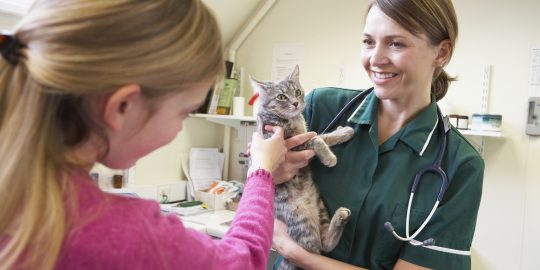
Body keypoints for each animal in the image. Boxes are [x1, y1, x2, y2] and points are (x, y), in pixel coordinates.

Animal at [252, 65, 354, 270]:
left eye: (298, 92)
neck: (292, 120)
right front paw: (329, 157)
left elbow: (322, 135)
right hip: (302, 221)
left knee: (325, 244)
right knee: (315, 250)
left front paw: (343, 132)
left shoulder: (304, 133)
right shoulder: (290, 144)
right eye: (281, 97)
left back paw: (340, 218)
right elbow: (316, 138)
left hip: (321, 207)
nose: (295, 103)